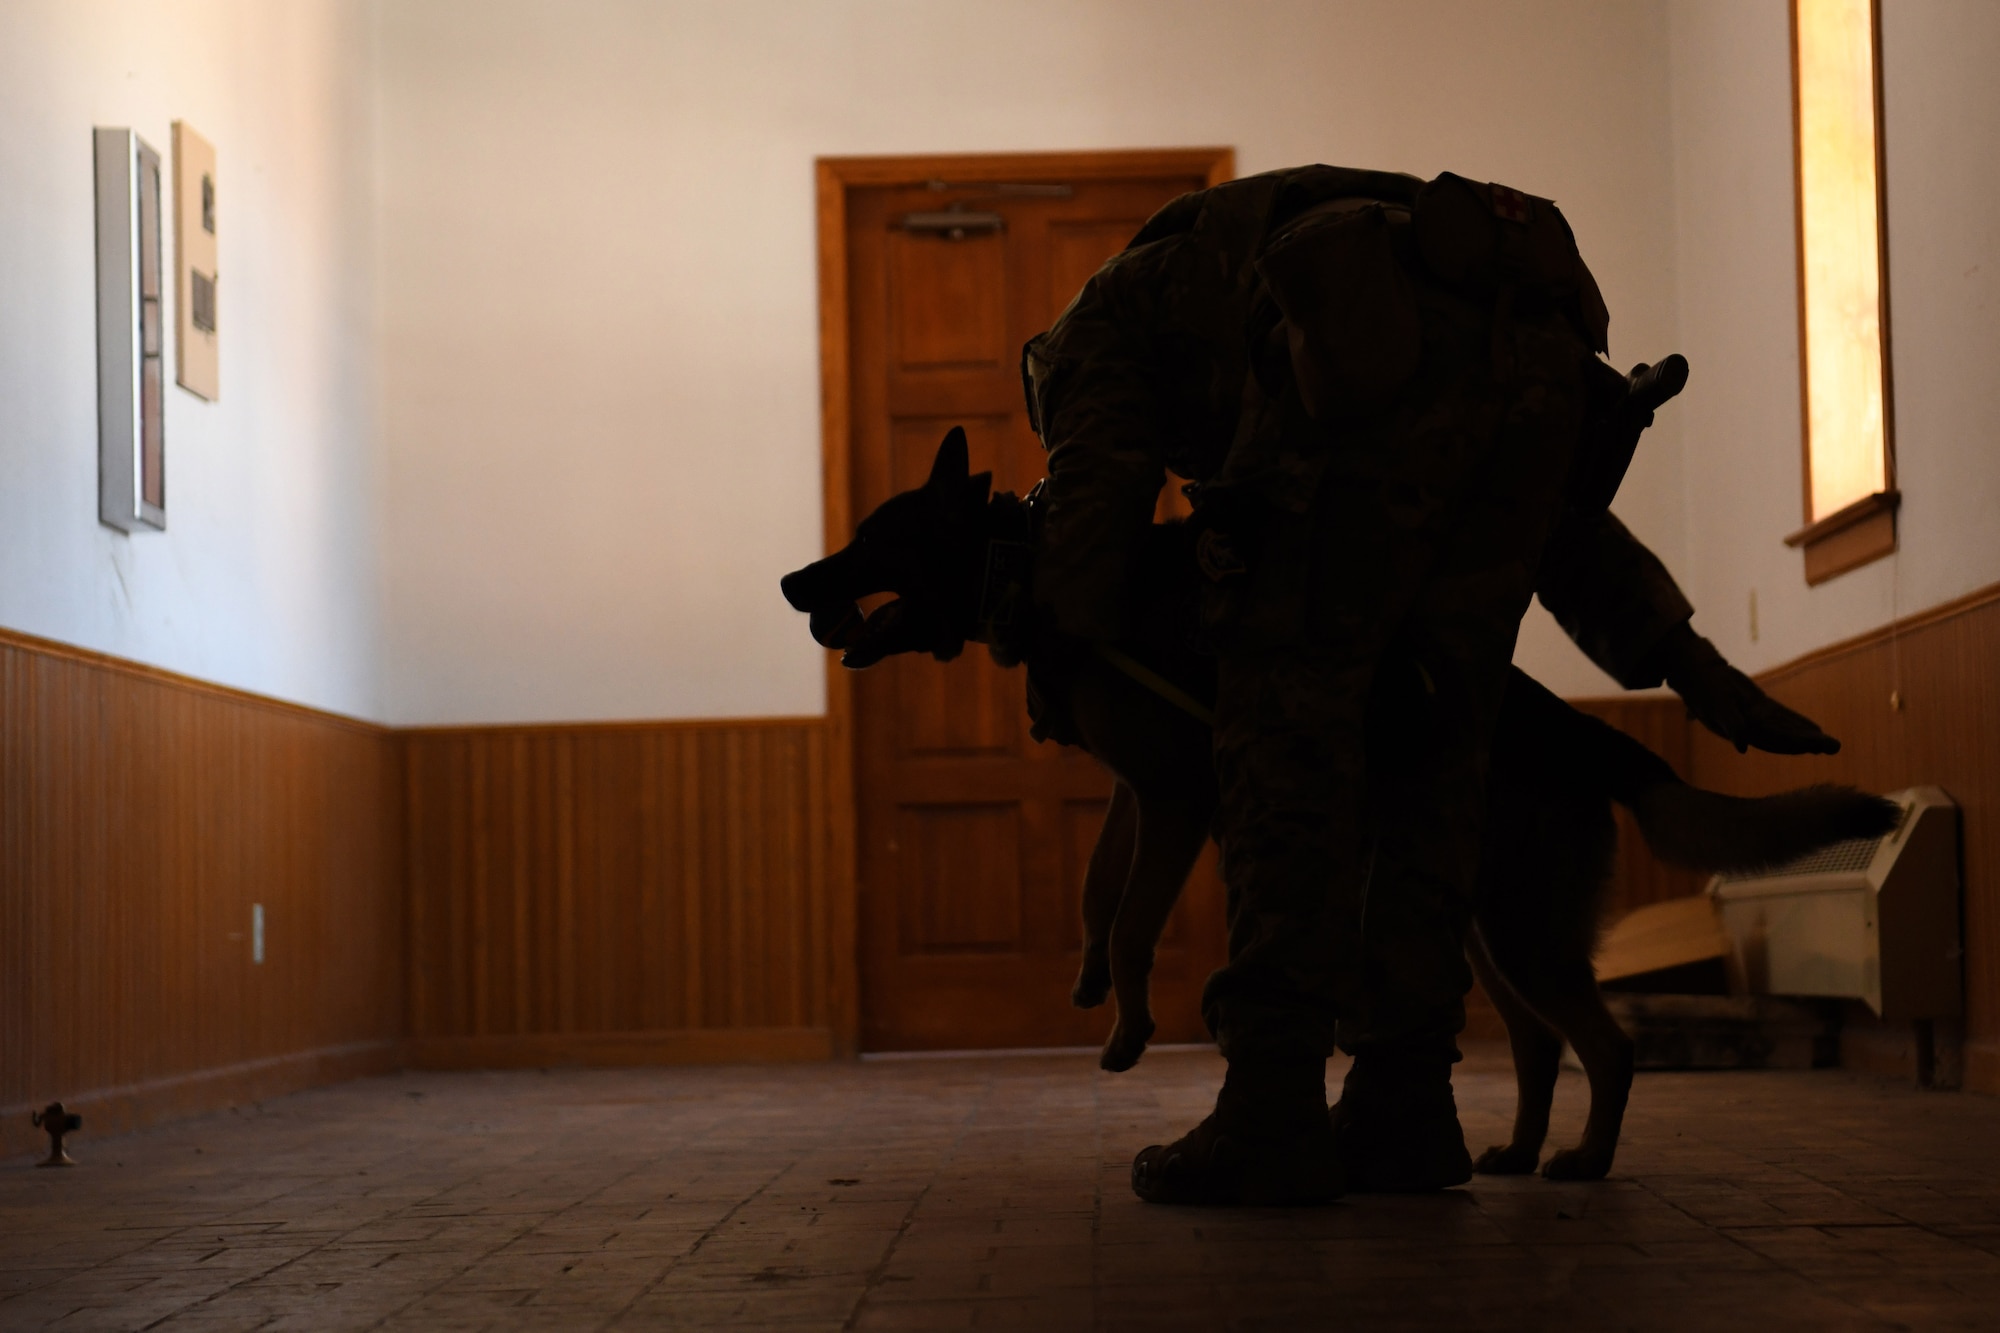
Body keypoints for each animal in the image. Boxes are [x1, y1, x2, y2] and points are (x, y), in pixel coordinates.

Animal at [776, 422, 1888, 1176]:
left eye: (873, 537)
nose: (793, 582)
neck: (1026, 566)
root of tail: (1594, 736)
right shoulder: (1138, 794)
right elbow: (1099, 892)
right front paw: (1093, 982)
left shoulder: (1175, 797)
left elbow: (1134, 917)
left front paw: (1129, 1030)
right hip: (1484, 927)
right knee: (1537, 1042)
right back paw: (1515, 1152)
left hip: (1523, 931)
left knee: (1607, 1047)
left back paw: (1583, 1161)